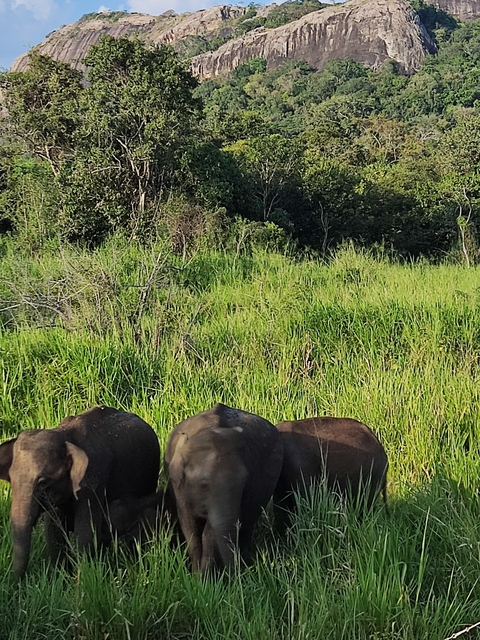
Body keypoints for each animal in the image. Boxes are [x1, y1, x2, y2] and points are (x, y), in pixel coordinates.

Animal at [0, 405, 160, 578]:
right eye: (11, 481)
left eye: (42, 483)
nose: (15, 582)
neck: (63, 435)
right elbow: (53, 530)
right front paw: (61, 577)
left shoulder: (93, 476)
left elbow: (85, 531)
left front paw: (81, 579)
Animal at [164, 403, 284, 572]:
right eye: (203, 484)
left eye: (244, 483)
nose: (238, 573)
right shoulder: (178, 487)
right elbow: (189, 526)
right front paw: (197, 575)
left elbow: (210, 532)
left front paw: (205, 575)